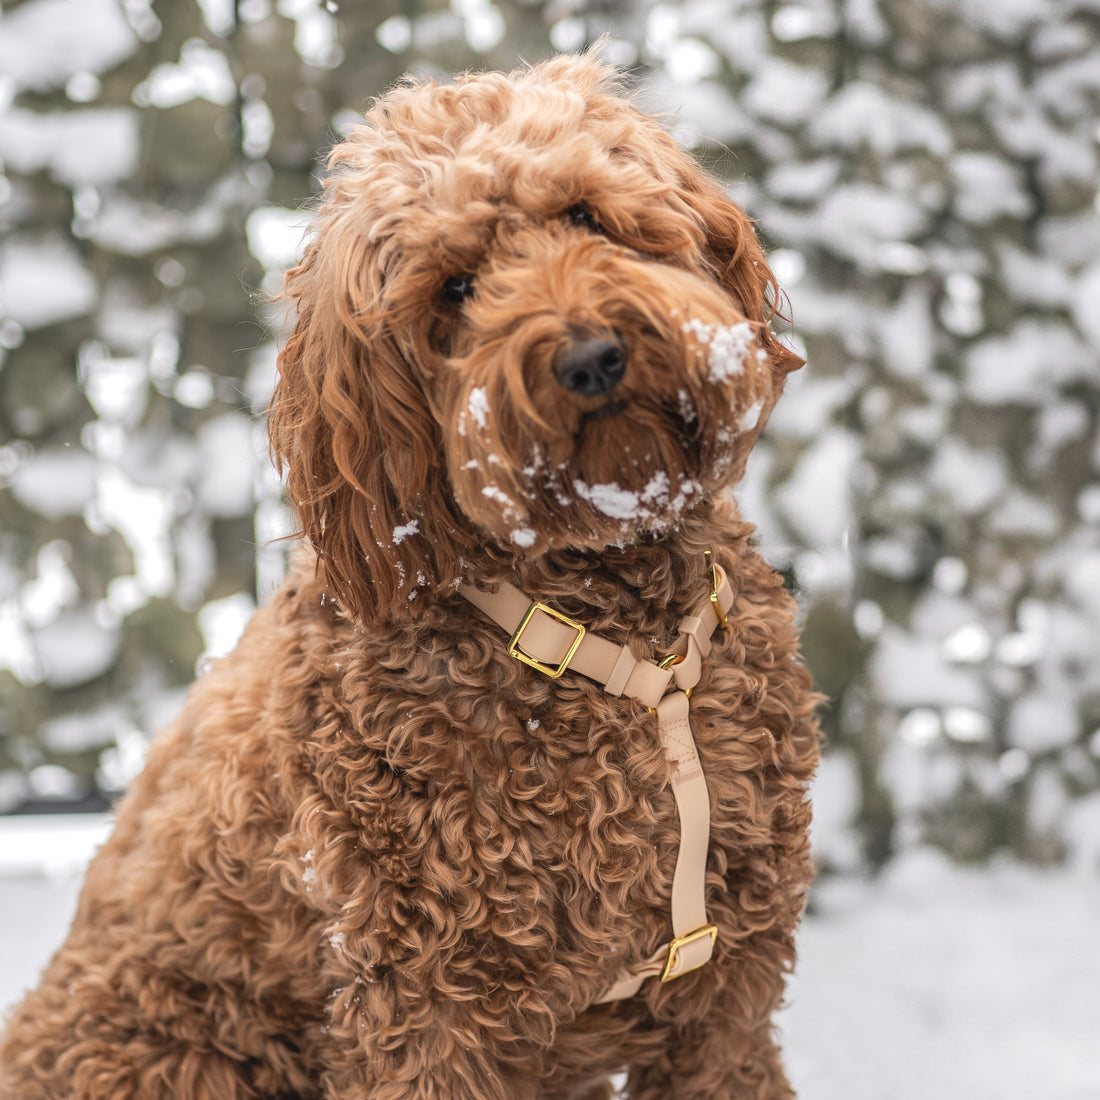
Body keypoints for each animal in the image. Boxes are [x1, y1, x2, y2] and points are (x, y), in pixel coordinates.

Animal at [0, 51, 822, 1100]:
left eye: (586, 214)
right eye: (457, 289)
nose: (591, 357)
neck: (611, 645)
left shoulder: (725, 1000)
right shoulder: (423, 1011)